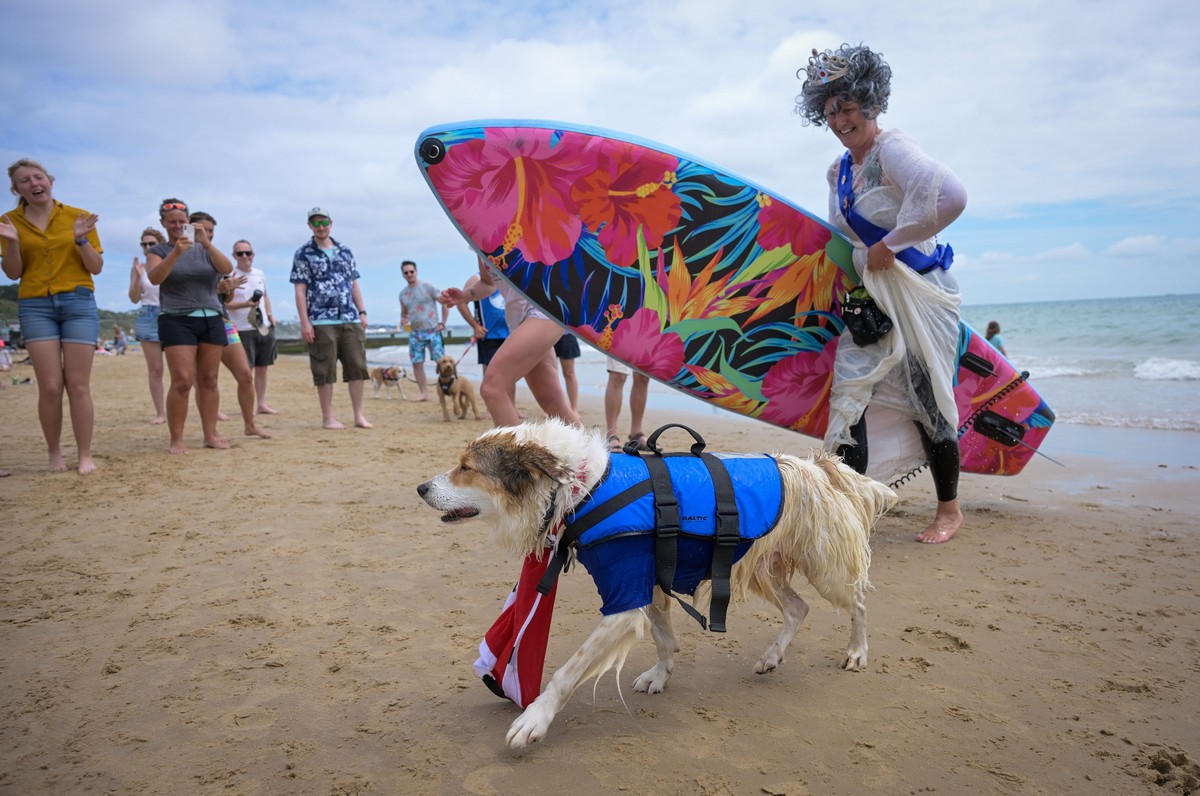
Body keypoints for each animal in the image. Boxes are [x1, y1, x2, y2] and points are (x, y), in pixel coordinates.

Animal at [417, 420, 897, 749]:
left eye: (466, 468)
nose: (420, 487)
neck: (584, 487)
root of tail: (819, 467)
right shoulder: (645, 585)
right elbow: (666, 640)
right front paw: (660, 675)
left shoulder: (623, 598)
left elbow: (568, 670)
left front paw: (535, 719)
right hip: (764, 570)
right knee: (800, 608)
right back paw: (771, 657)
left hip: (825, 570)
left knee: (858, 603)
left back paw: (857, 651)